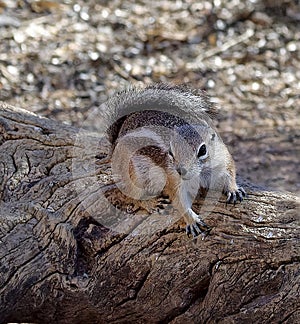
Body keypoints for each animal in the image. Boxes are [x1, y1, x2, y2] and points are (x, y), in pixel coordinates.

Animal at [103, 83, 246, 238]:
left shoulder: (223, 158)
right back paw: (152, 203)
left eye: (203, 150)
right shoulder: (173, 180)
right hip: (133, 175)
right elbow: (179, 200)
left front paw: (233, 189)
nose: (180, 171)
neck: (201, 173)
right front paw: (192, 220)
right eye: (171, 152)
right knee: (134, 195)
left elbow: (230, 172)